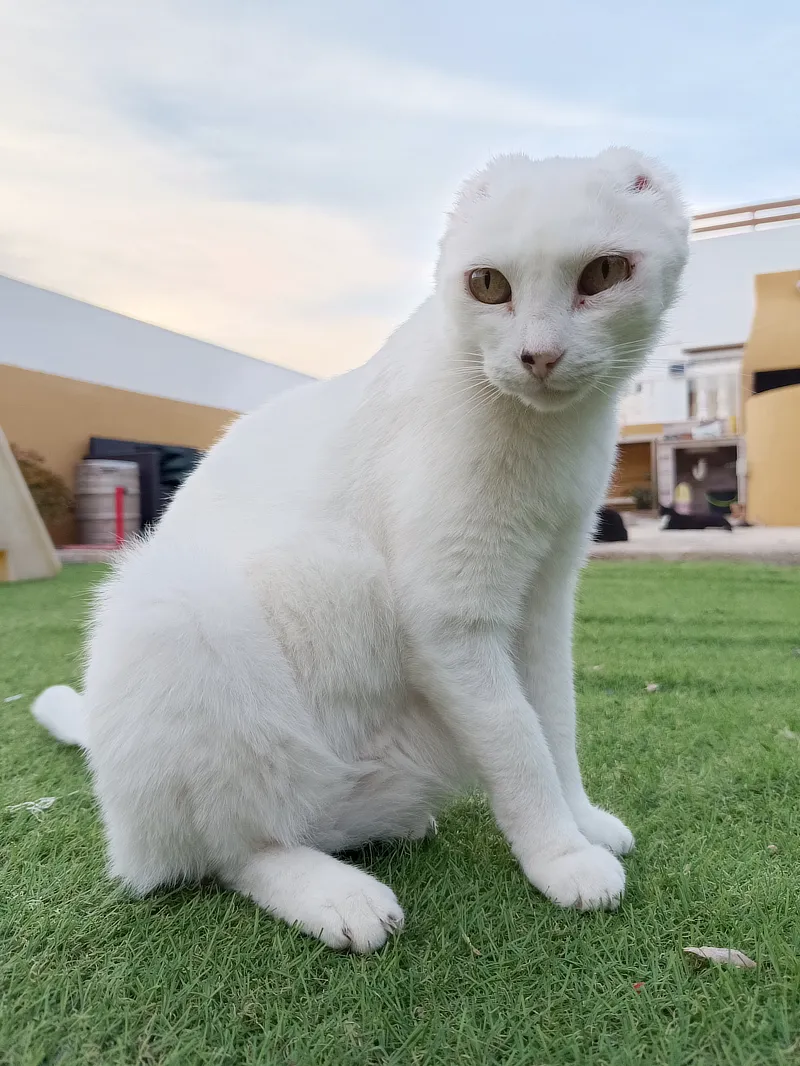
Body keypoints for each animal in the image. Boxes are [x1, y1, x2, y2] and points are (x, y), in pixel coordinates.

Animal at [32, 146, 691, 955]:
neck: (544, 436)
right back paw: (338, 896)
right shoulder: (450, 620)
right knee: (229, 848)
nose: (539, 355)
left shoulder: (544, 599)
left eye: (602, 274)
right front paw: (561, 857)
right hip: (178, 613)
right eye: (488, 284)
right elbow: (518, 740)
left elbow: (555, 722)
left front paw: (583, 821)